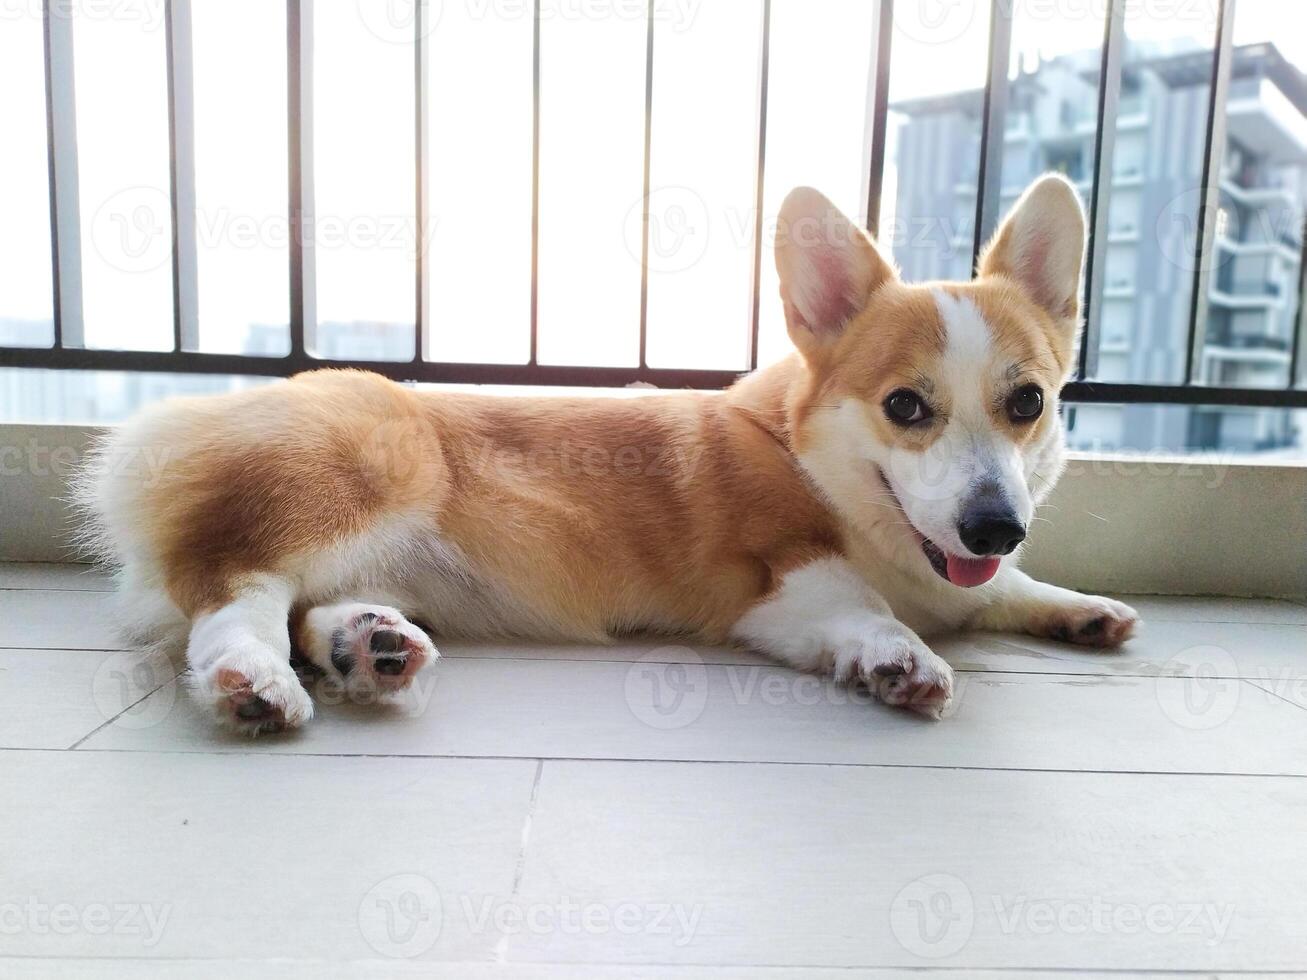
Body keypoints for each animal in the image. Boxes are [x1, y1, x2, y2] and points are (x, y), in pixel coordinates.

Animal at [81, 172, 1139, 731]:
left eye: (1028, 403)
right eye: (905, 406)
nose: (993, 525)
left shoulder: (968, 570)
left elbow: (1004, 590)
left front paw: (1081, 608)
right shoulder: (782, 580)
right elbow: (865, 608)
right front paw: (898, 656)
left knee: (312, 605)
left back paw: (368, 647)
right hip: (351, 477)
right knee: (234, 590)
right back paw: (251, 681)